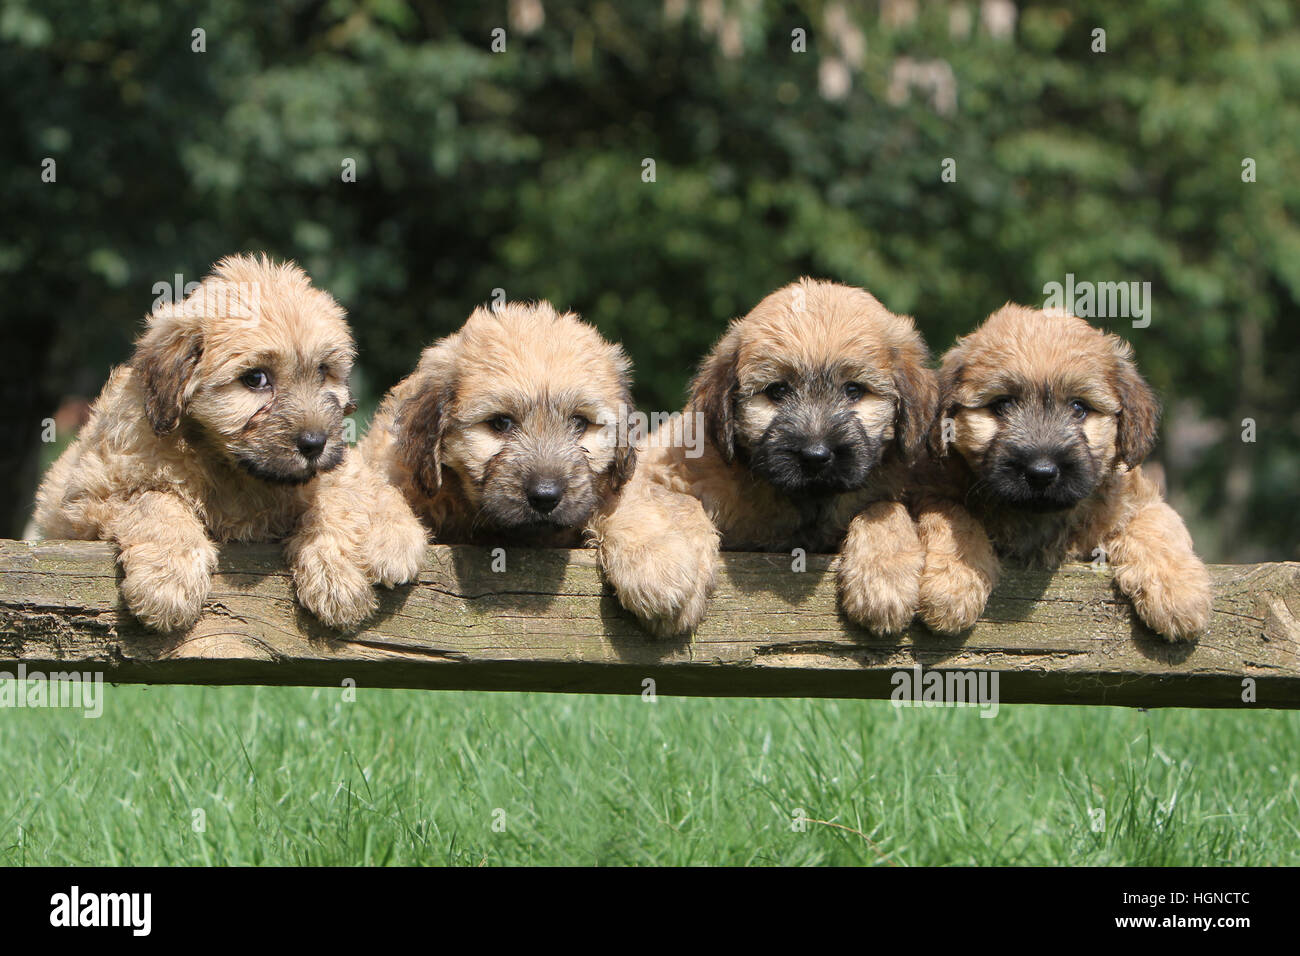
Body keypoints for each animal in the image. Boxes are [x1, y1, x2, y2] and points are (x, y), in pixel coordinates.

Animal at [35, 251, 426, 632]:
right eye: (255, 379)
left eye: (322, 371)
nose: (314, 443)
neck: (231, 469)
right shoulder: (87, 498)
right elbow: (153, 499)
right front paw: (169, 577)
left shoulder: (332, 473)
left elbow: (337, 495)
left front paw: (339, 573)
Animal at [361, 303, 634, 548]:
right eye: (501, 422)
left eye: (579, 422)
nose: (545, 496)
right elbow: (379, 488)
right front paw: (391, 536)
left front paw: (640, 549)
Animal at [595, 277, 941, 634]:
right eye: (777, 390)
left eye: (854, 390)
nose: (815, 455)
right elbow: (677, 502)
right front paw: (661, 574)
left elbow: (884, 508)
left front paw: (885, 577)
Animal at [920, 303, 1211, 639]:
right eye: (1002, 405)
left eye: (1078, 407)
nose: (1041, 472)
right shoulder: (932, 490)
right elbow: (953, 516)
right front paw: (953, 581)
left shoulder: (1139, 501)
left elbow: (1155, 525)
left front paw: (1178, 592)